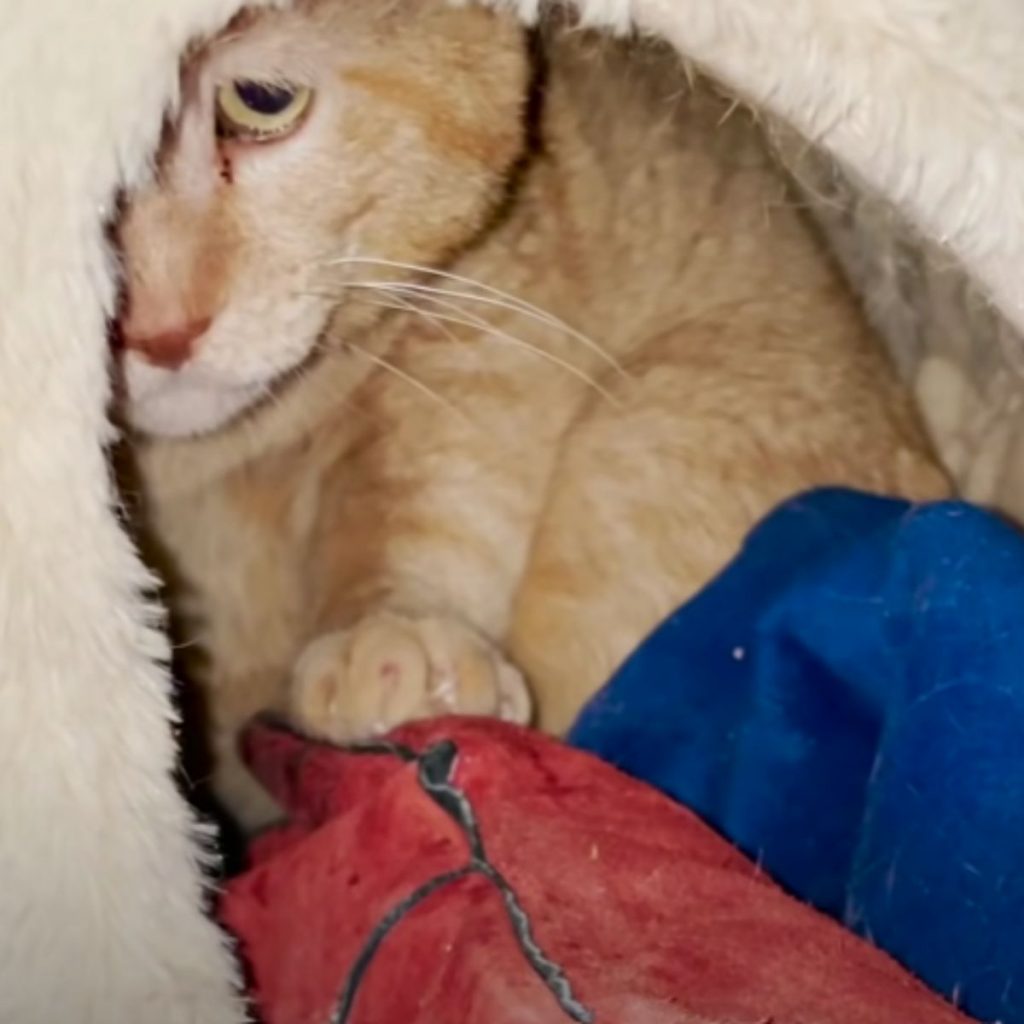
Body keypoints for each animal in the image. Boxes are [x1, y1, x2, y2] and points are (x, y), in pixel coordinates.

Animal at [119, 0, 950, 823]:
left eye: (259, 99)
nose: (156, 331)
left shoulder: (480, 329)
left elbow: (415, 505)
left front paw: (391, 637)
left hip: (653, 437)